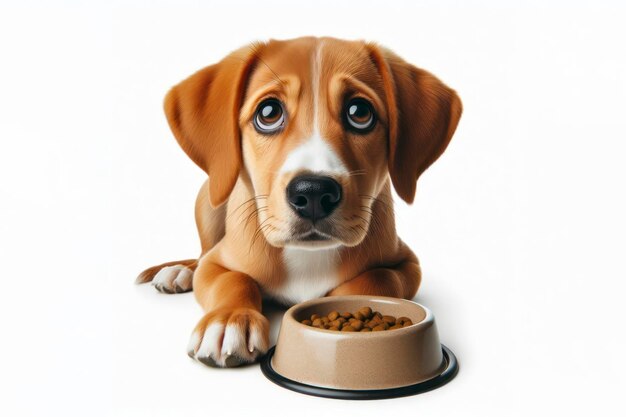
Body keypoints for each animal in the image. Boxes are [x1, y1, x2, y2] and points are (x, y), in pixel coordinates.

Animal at [135, 36, 458, 368]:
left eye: (360, 112)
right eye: (268, 113)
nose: (314, 193)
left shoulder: (407, 264)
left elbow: (376, 279)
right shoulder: (217, 263)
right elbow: (233, 281)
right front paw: (228, 321)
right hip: (208, 203)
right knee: (200, 256)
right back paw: (179, 272)